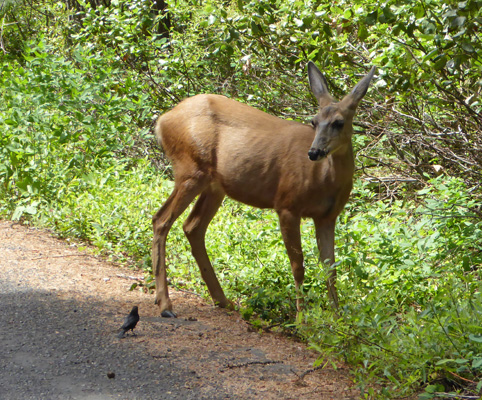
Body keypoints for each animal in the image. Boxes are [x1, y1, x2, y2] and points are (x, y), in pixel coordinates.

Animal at [153, 62, 374, 318]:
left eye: (339, 122)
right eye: (314, 121)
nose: (314, 152)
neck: (324, 180)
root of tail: (162, 121)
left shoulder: (328, 216)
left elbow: (331, 268)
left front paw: (337, 318)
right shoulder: (287, 204)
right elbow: (298, 266)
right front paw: (301, 319)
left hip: (215, 186)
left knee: (192, 227)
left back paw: (223, 300)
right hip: (190, 169)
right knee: (161, 220)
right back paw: (166, 305)